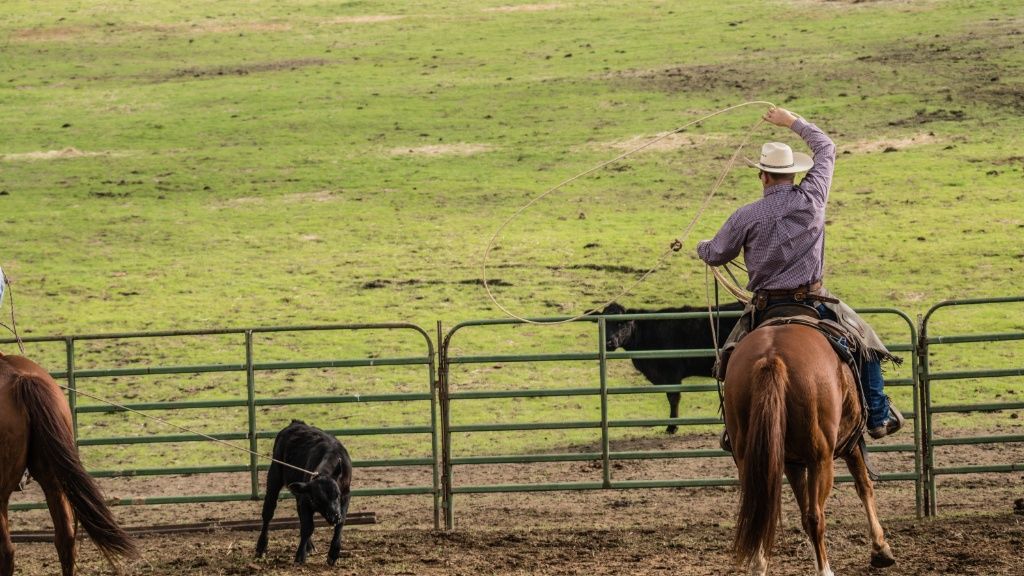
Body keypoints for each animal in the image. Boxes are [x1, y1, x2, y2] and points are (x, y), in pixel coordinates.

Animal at [254, 416, 352, 561]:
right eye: (317, 499)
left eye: (337, 495)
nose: (334, 516)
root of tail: (295, 423)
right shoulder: (306, 499)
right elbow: (307, 527)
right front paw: (300, 556)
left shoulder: (345, 496)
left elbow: (340, 525)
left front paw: (333, 553)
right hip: (274, 476)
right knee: (268, 512)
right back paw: (261, 547)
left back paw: (309, 546)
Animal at [598, 301, 745, 430]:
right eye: (605, 325)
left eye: (620, 323)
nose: (608, 342)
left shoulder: (671, 373)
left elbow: (673, 398)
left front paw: (672, 426)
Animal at [720, 323, 897, 573]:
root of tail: (771, 358)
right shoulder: (851, 443)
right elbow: (864, 486)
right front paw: (881, 549)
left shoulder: (792, 464)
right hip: (820, 459)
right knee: (816, 517)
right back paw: (825, 570)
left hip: (749, 458)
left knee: (760, 510)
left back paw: (758, 566)